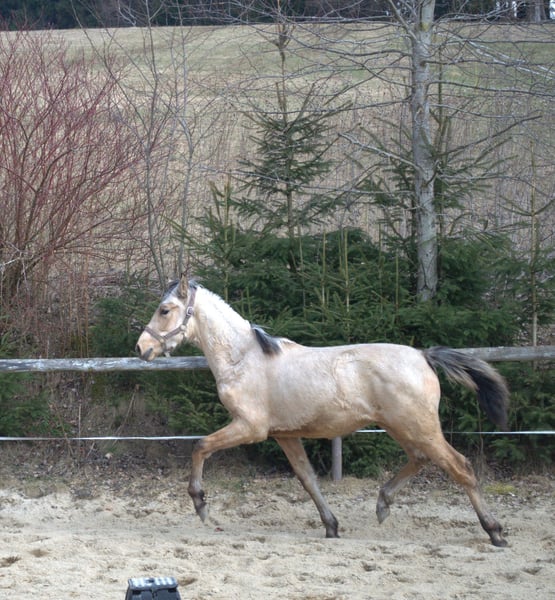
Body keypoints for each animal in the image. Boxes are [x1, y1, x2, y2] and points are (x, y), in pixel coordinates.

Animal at [136, 274, 509, 547]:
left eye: (165, 309)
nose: (142, 347)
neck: (242, 359)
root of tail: (423, 356)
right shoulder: (285, 435)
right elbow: (308, 478)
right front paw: (331, 526)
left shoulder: (249, 427)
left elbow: (200, 446)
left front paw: (200, 504)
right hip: (401, 426)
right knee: (420, 459)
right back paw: (383, 505)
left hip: (418, 426)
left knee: (460, 467)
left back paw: (495, 531)